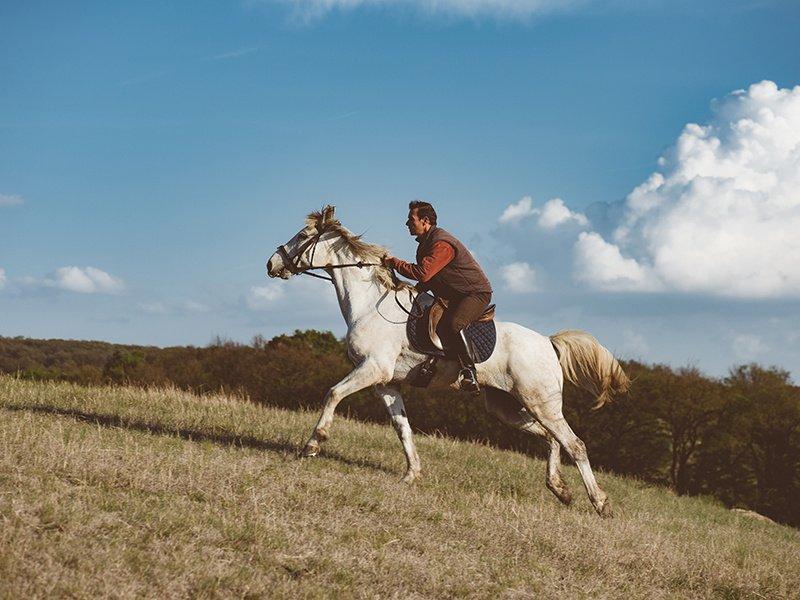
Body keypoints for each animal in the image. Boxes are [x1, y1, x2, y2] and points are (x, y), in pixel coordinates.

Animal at [268, 206, 632, 516]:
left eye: (302, 235)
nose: (271, 264)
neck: (369, 304)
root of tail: (547, 343)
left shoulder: (372, 368)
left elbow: (333, 393)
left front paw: (313, 444)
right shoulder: (386, 382)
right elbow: (402, 428)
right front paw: (412, 474)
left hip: (542, 402)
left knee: (575, 444)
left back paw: (600, 503)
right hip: (506, 405)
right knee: (550, 438)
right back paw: (560, 489)